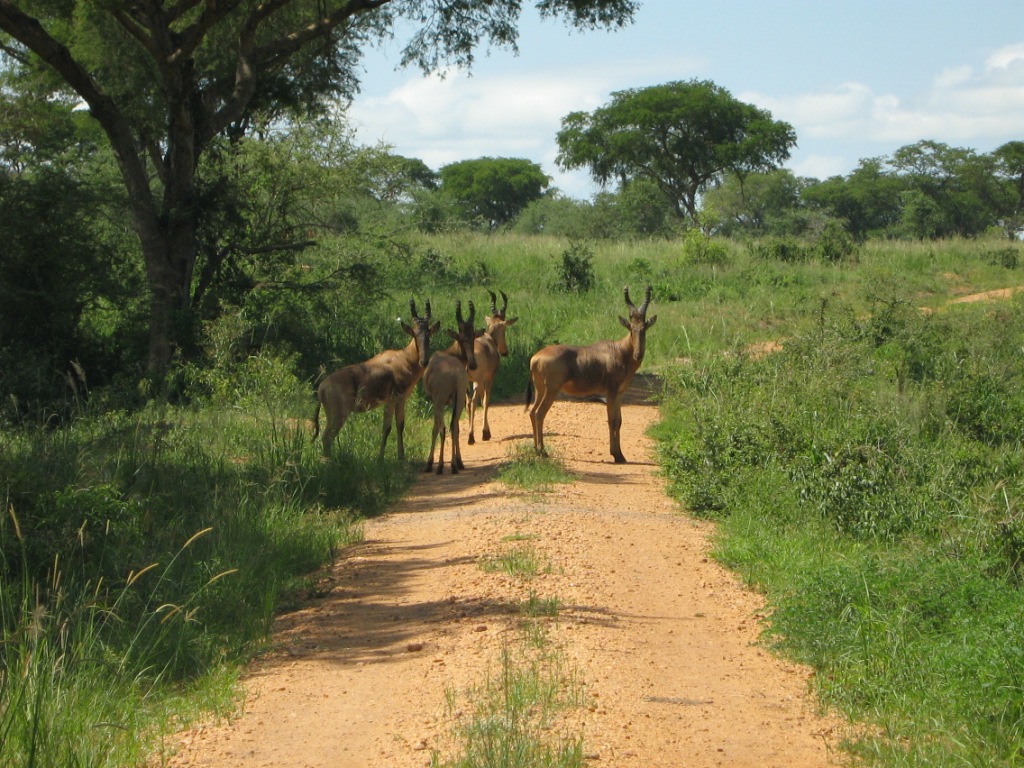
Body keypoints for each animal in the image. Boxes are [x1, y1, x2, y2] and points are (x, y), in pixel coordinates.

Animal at [311, 296, 440, 460]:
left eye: (429, 334)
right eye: (415, 334)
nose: (424, 361)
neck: (402, 358)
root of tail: (322, 387)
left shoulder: (397, 400)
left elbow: (396, 426)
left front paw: (396, 457)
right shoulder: (394, 399)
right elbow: (390, 427)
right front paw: (386, 458)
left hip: (330, 415)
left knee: (326, 437)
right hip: (339, 414)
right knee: (328, 437)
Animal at [419, 301, 483, 475]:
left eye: (473, 336)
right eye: (462, 337)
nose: (473, 364)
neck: (449, 354)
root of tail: (454, 374)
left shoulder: (434, 401)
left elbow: (435, 428)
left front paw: (430, 463)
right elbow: (457, 427)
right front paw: (459, 462)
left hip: (440, 401)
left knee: (443, 428)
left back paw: (440, 466)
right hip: (459, 398)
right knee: (454, 426)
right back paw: (455, 465)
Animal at [468, 288, 520, 444]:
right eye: (504, 328)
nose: (505, 352)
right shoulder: (489, 378)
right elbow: (486, 401)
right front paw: (486, 433)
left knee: (467, 402)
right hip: (478, 381)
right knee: (473, 402)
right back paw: (471, 437)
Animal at [524, 286, 659, 462]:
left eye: (644, 329)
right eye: (631, 329)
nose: (638, 354)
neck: (619, 351)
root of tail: (535, 358)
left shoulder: (620, 393)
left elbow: (619, 421)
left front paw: (620, 454)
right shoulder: (611, 392)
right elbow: (612, 420)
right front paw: (616, 455)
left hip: (540, 389)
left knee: (532, 412)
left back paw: (536, 450)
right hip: (551, 390)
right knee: (539, 414)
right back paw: (543, 451)